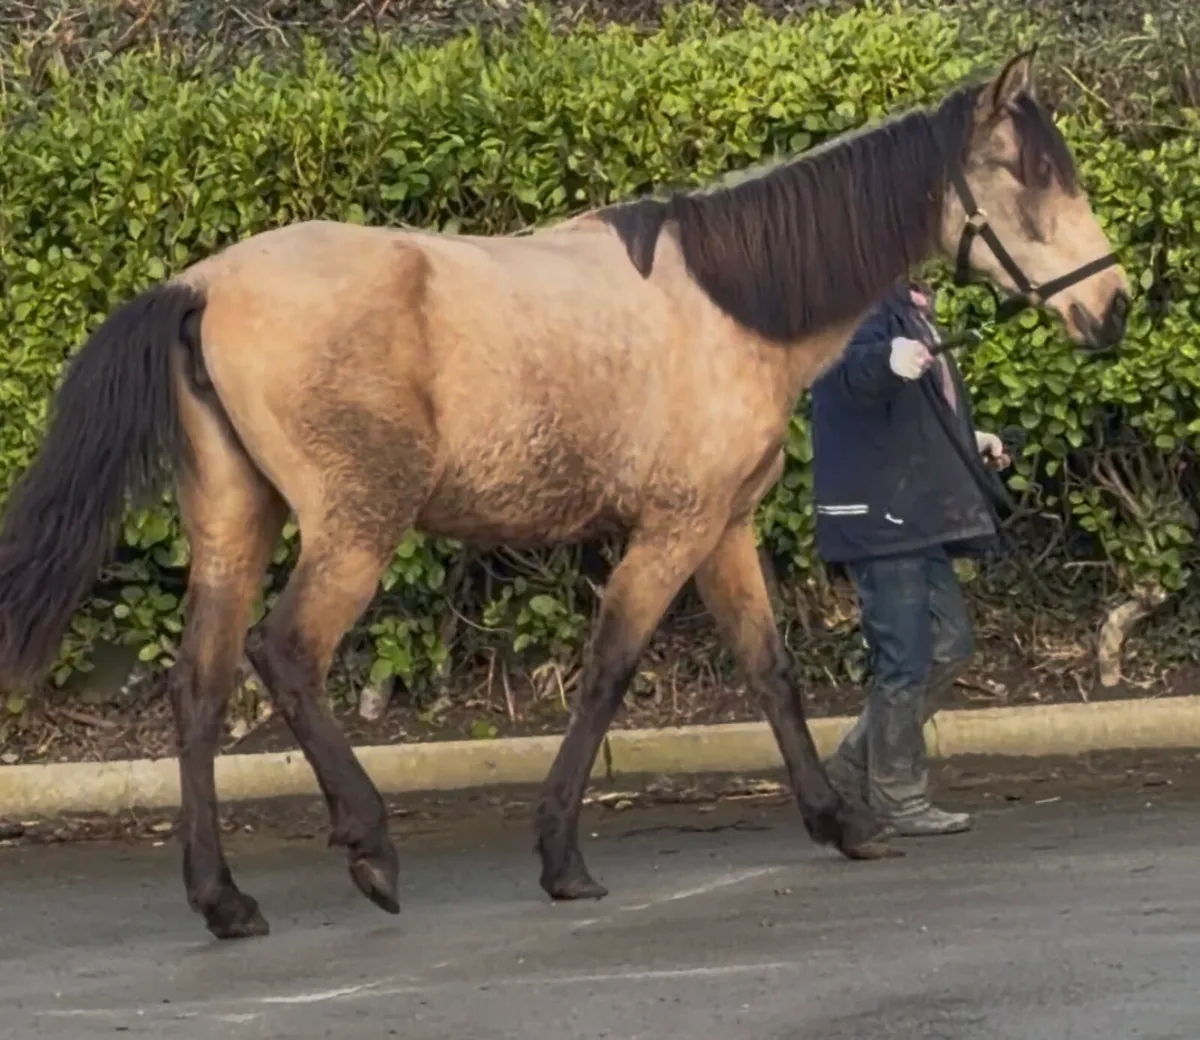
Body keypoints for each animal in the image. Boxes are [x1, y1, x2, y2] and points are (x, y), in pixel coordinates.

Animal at [0, 48, 1129, 941]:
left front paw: (841, 822)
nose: (1112, 308)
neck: (732, 301)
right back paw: (370, 846)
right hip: (354, 529)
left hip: (236, 524)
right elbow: (607, 673)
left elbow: (771, 673)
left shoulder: (723, 529)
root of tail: (200, 285)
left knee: (197, 688)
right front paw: (562, 859)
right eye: (1031, 171)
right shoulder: (671, 531)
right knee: (287, 656)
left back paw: (225, 899)